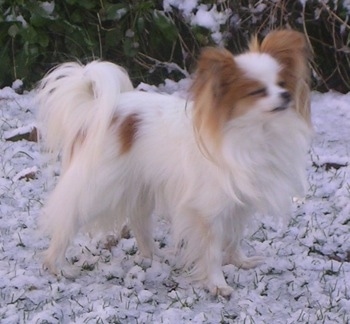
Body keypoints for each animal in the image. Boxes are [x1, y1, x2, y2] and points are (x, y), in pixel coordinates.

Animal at [37, 30, 312, 296]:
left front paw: (240, 262)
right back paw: (56, 266)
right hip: (99, 188)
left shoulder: (238, 202)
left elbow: (235, 237)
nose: (286, 95)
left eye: (282, 84)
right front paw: (217, 285)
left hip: (141, 184)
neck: (252, 131)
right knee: (68, 218)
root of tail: (93, 112)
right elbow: (212, 251)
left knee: (139, 222)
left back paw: (152, 257)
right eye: (258, 92)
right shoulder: (209, 209)